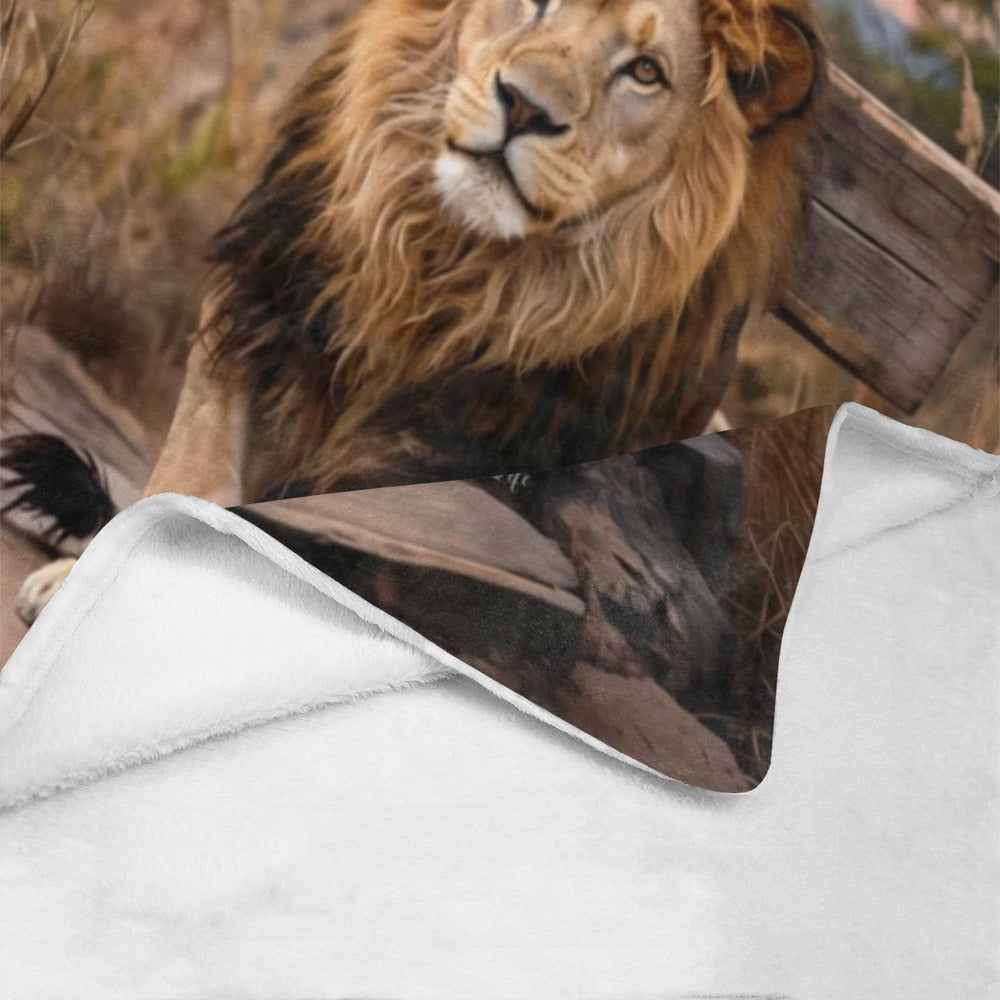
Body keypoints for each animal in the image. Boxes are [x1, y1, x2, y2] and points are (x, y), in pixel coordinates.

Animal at [12, 0, 824, 624]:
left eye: (646, 71)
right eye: (538, 2)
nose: (524, 105)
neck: (442, 267)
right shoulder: (263, 293)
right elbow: (195, 457)